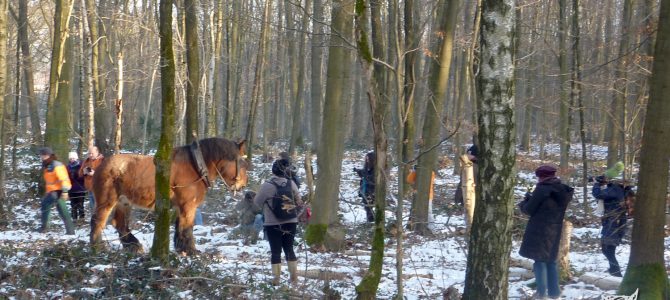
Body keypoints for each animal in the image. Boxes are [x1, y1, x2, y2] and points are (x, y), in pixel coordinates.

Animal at [88, 138, 248, 253]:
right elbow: (187, 228)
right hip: (107, 201)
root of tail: (101, 165)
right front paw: (191, 251)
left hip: (123, 202)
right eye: (242, 162)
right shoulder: (188, 206)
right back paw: (97, 247)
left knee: (119, 223)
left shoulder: (180, 206)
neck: (195, 166)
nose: (243, 185)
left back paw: (133, 246)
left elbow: (179, 227)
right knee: (98, 221)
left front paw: (181, 248)